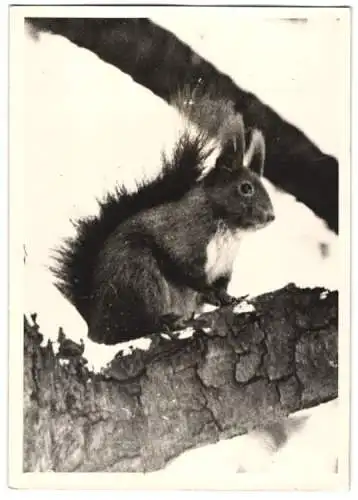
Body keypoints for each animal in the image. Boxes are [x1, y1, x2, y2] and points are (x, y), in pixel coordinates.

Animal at [52, 94, 274, 344]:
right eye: (246, 188)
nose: (270, 216)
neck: (229, 230)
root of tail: (95, 324)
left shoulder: (224, 266)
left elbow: (221, 286)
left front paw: (228, 298)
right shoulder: (184, 240)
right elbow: (188, 272)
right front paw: (210, 293)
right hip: (139, 277)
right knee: (130, 327)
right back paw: (164, 322)